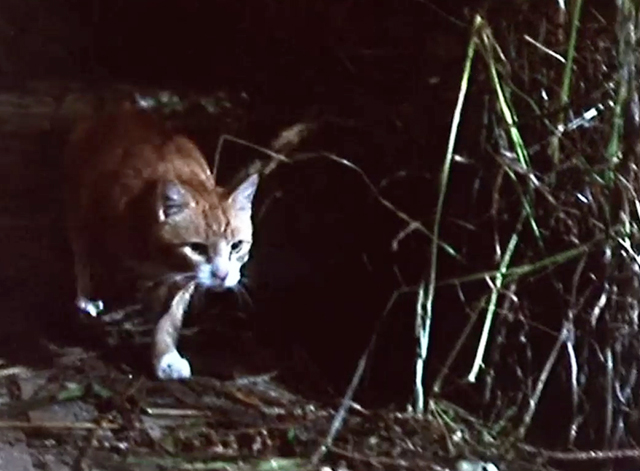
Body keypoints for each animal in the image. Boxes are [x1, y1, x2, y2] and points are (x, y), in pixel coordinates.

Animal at [63, 103, 258, 380]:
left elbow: (170, 316)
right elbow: (92, 265)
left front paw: (165, 356)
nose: (222, 276)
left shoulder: (182, 279)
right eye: (197, 248)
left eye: (237, 246)